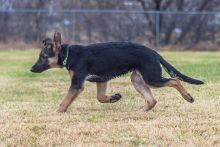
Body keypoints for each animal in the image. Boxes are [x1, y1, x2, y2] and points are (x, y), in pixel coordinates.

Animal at [30, 31, 204, 112]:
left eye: (43, 56)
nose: (31, 69)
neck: (69, 54)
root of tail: (155, 53)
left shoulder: (77, 84)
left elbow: (65, 101)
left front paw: (57, 112)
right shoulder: (101, 80)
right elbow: (100, 98)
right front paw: (114, 98)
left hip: (151, 78)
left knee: (175, 81)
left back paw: (188, 97)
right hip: (137, 80)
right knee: (152, 100)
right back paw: (140, 112)